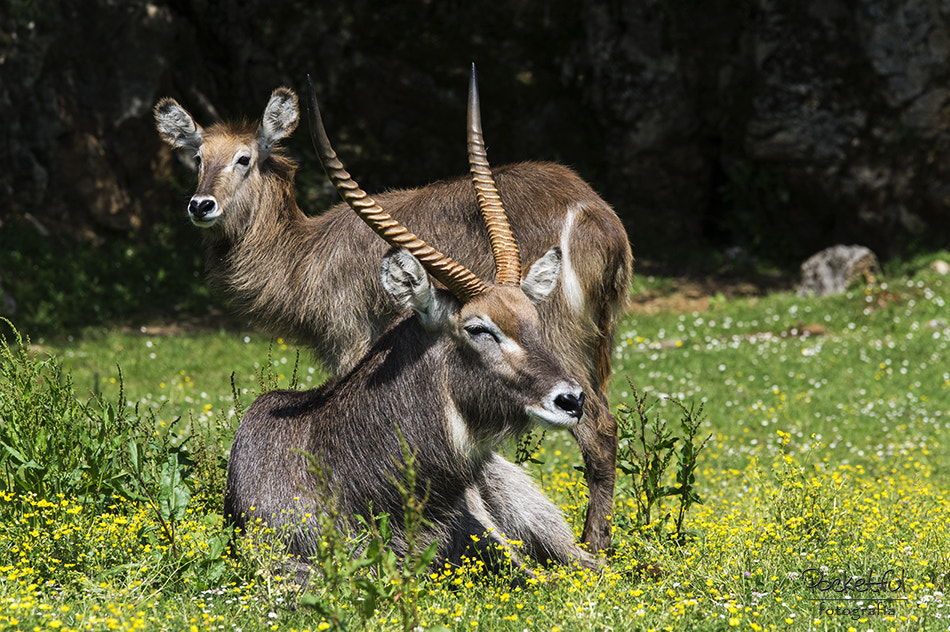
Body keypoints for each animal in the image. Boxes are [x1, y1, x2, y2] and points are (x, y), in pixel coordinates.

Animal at [156, 68, 632, 552]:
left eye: (244, 158)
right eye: (198, 158)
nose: (201, 205)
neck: (304, 252)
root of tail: (596, 215)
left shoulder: (351, 341)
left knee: (598, 430)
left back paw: (595, 546)